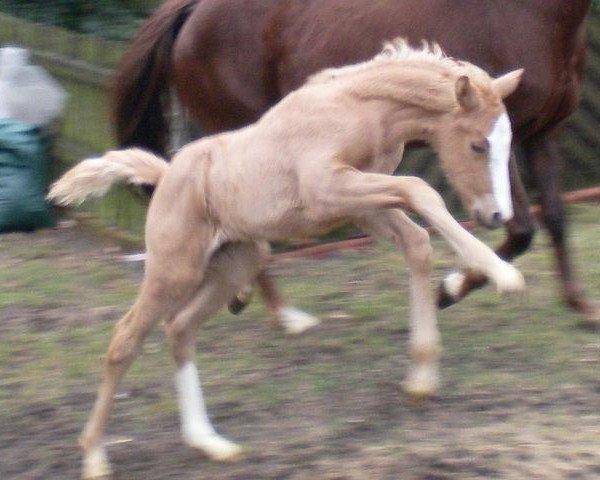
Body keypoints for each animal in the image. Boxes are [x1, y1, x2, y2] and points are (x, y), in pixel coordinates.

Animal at [48, 39, 524, 478]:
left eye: (506, 143)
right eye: (478, 145)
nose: (497, 215)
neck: (360, 109)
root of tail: (166, 176)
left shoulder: (361, 207)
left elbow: (417, 239)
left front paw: (422, 379)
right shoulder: (327, 190)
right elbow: (421, 189)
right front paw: (502, 274)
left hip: (234, 263)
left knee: (180, 330)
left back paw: (211, 442)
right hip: (174, 271)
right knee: (125, 339)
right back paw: (94, 456)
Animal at [112, 0, 596, 324]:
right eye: (477, 146)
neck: (529, 13)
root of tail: (192, 9)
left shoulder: (541, 136)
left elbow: (553, 218)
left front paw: (580, 304)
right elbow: (520, 228)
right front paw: (450, 289)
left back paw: (250, 297)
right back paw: (282, 314)